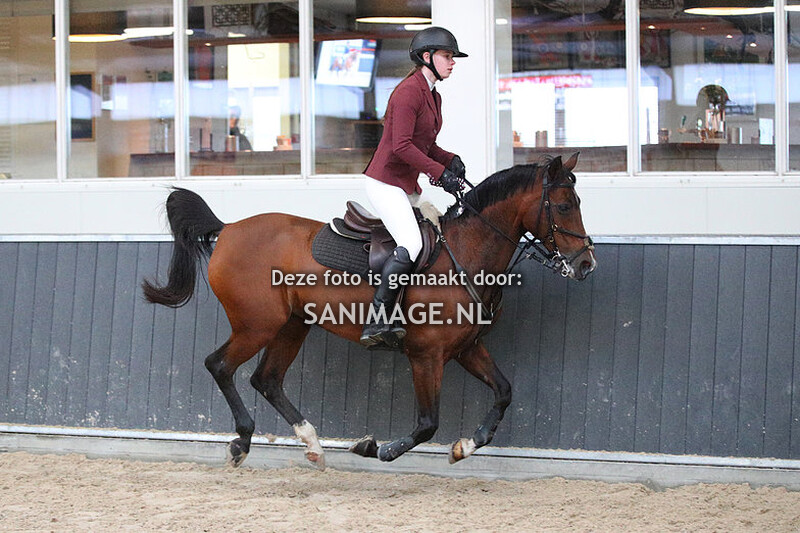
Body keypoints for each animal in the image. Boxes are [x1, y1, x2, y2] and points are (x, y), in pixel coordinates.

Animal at [142, 153, 596, 469]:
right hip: (257, 325)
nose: (586, 264)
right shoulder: (426, 355)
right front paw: (377, 448)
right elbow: (427, 423)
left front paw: (464, 446)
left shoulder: (467, 348)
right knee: (220, 366)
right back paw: (242, 441)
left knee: (266, 379)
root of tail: (230, 228)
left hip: (292, 325)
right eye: (563, 206)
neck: (465, 253)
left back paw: (313, 446)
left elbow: (503, 392)